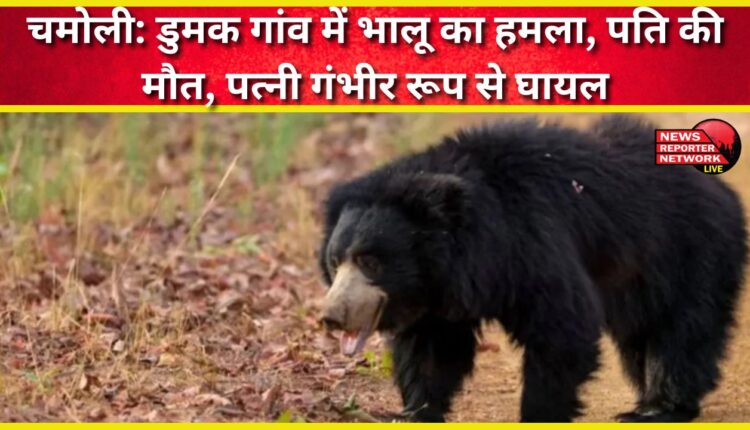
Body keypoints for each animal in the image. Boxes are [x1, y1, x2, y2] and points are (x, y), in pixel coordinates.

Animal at [317, 116, 747, 422]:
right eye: (335, 262)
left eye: (371, 261)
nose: (330, 316)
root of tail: (722, 191)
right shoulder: (436, 295)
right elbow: (432, 350)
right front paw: (411, 413)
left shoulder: (532, 242)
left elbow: (562, 325)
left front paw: (539, 413)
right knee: (641, 337)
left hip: (690, 253)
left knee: (682, 330)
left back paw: (657, 408)